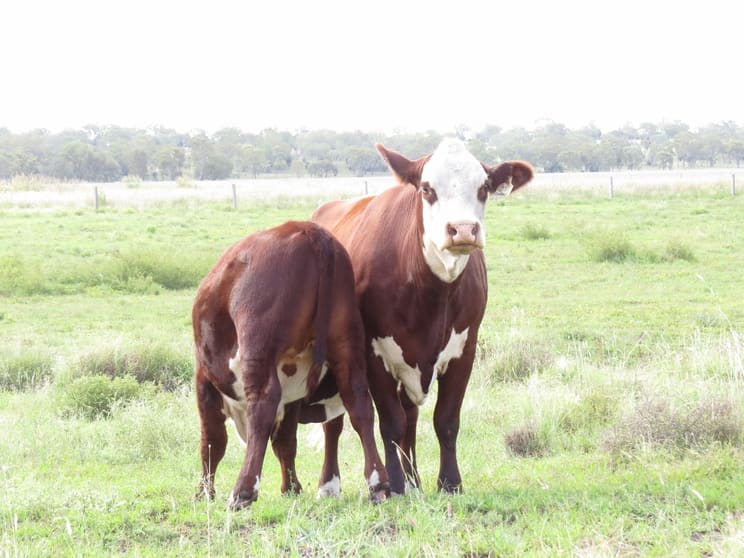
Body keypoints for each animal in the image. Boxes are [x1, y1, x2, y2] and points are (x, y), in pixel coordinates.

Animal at [192, 220, 390, 509]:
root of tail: (307, 228)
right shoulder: (292, 394)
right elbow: (285, 442)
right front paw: (292, 488)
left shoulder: (204, 380)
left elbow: (213, 441)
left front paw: (204, 493)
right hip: (346, 342)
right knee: (359, 403)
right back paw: (378, 484)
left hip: (257, 347)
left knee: (262, 406)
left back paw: (243, 490)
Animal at [304, 138, 534, 496]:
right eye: (427, 189)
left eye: (483, 187)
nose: (463, 230)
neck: (430, 292)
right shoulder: (374, 354)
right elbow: (390, 422)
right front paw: (396, 485)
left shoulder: (464, 350)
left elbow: (446, 420)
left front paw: (449, 483)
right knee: (336, 423)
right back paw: (330, 484)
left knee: (410, 416)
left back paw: (415, 482)